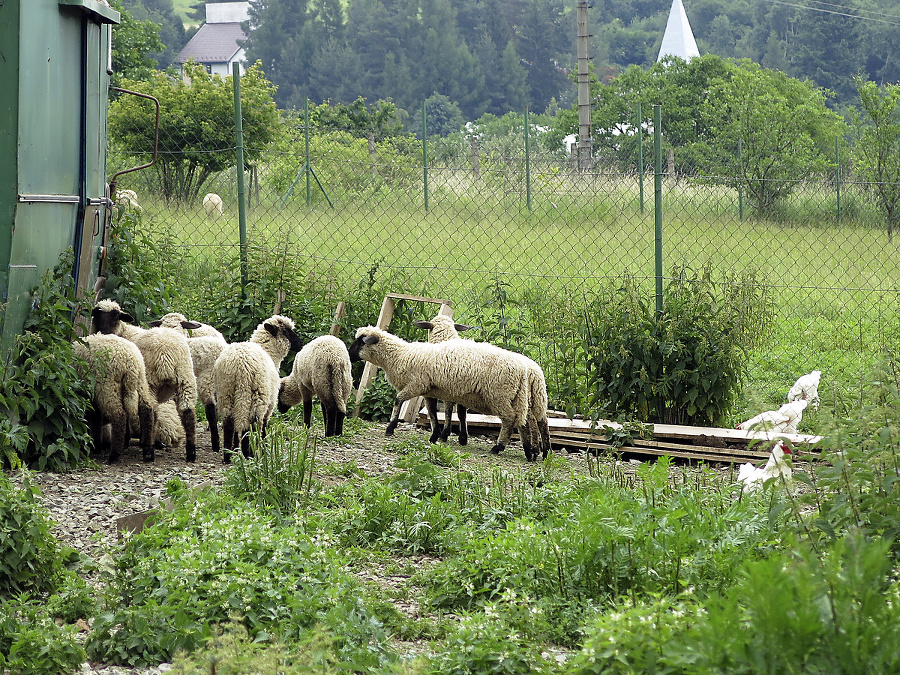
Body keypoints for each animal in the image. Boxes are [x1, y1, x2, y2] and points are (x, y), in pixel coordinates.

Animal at [72, 334, 156, 464]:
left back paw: (114, 455)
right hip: (141, 381)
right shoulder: (91, 399)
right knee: (146, 410)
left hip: (107, 386)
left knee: (119, 415)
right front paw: (96, 446)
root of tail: (131, 362)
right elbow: (96, 419)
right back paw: (148, 451)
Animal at [90, 302, 198, 464]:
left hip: (149, 382)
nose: (103, 332)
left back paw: (149, 450)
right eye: (96, 315)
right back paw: (190, 453)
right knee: (187, 412)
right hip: (185, 378)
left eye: (115, 316)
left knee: (149, 412)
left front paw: (127, 441)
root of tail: (166, 355)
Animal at [213, 314, 304, 462]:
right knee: (251, 423)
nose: (301, 345)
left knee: (229, 423)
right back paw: (249, 453)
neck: (270, 353)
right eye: (286, 332)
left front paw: (235, 448)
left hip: (226, 391)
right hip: (257, 393)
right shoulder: (270, 402)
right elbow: (264, 425)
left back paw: (228, 455)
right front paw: (264, 447)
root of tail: (240, 364)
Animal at [346, 324, 540, 462]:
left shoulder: (416, 384)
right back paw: (529, 452)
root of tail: (524, 369)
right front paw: (435, 436)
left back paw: (499, 447)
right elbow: (432, 413)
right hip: (515, 396)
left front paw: (390, 427)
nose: (348, 355)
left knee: (510, 419)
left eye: (361, 342)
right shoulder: (428, 391)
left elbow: (397, 400)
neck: (400, 355)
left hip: (499, 394)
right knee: (523, 422)